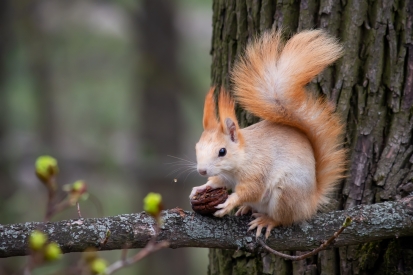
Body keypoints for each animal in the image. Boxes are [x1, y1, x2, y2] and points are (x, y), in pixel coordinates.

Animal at [190, 28, 344, 239]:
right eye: (197, 147)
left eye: (222, 151)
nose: (202, 171)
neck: (243, 157)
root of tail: (310, 202)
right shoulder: (224, 176)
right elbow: (217, 181)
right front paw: (201, 187)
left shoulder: (258, 170)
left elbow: (251, 190)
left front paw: (230, 202)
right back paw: (247, 209)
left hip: (286, 193)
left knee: (283, 218)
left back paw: (266, 220)